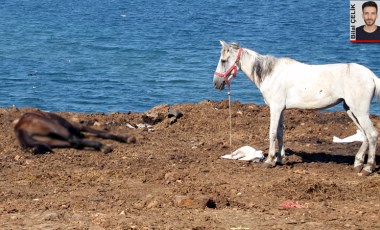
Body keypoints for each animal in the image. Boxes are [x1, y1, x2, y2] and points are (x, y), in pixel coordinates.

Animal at [214, 40, 380, 175]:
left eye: (223, 60)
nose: (216, 83)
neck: (271, 74)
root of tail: (371, 76)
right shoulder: (281, 109)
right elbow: (280, 133)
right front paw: (279, 159)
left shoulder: (275, 108)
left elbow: (272, 133)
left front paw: (269, 161)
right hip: (350, 110)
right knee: (365, 135)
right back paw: (358, 164)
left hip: (360, 111)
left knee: (372, 134)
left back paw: (368, 168)